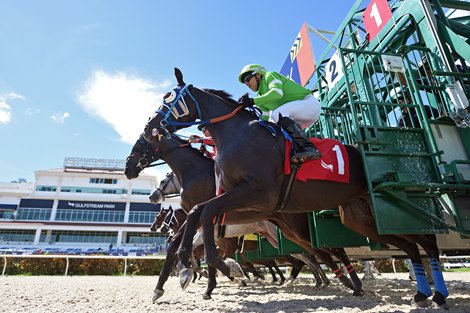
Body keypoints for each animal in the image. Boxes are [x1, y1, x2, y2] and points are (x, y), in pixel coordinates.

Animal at [143, 68, 452, 308]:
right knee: (410, 247)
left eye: (169, 98)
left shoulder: (260, 195)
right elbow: (199, 212)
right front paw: (187, 267)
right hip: (363, 217)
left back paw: (435, 293)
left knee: (425, 241)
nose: (150, 127)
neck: (238, 136)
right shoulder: (242, 203)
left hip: (385, 208)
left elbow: (205, 214)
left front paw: (214, 267)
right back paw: (420, 293)